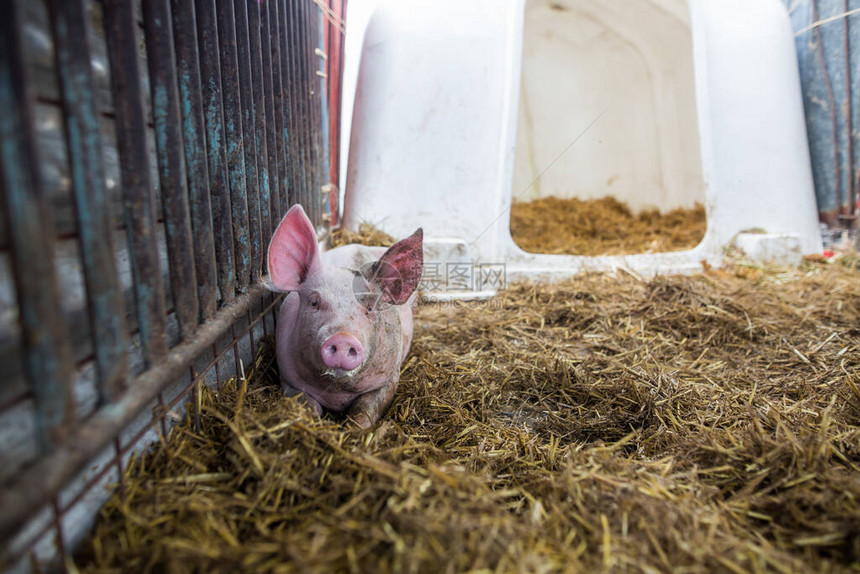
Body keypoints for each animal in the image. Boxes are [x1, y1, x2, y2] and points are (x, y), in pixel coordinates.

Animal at [264, 205, 422, 430]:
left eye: (370, 307)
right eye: (314, 302)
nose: (342, 338)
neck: (336, 392)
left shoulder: (389, 379)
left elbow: (365, 409)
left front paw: (352, 430)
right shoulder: (287, 378)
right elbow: (306, 406)